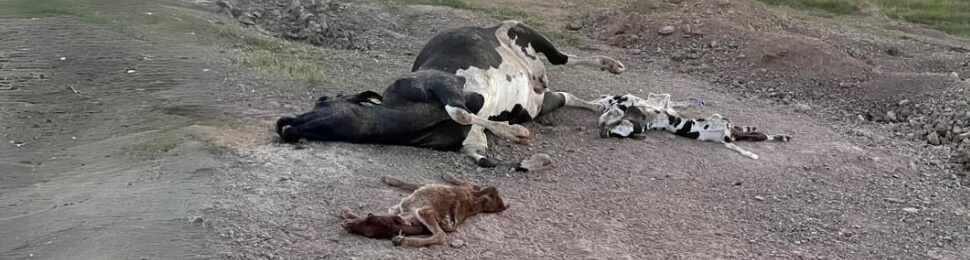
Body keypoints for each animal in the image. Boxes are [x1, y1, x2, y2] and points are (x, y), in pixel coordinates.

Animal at [276, 20, 624, 171]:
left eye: (323, 101)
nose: (285, 124)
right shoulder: (469, 140)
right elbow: (483, 155)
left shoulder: (443, 84)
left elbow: (460, 110)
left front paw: (513, 131)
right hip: (539, 102)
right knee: (566, 94)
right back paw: (605, 105)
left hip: (519, 30)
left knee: (562, 56)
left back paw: (611, 64)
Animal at [338, 174, 506, 247]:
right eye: (369, 217)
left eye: (370, 232)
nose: (345, 225)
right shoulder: (400, 208)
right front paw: (347, 213)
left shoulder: (424, 211)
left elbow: (441, 235)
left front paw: (402, 240)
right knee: (474, 185)